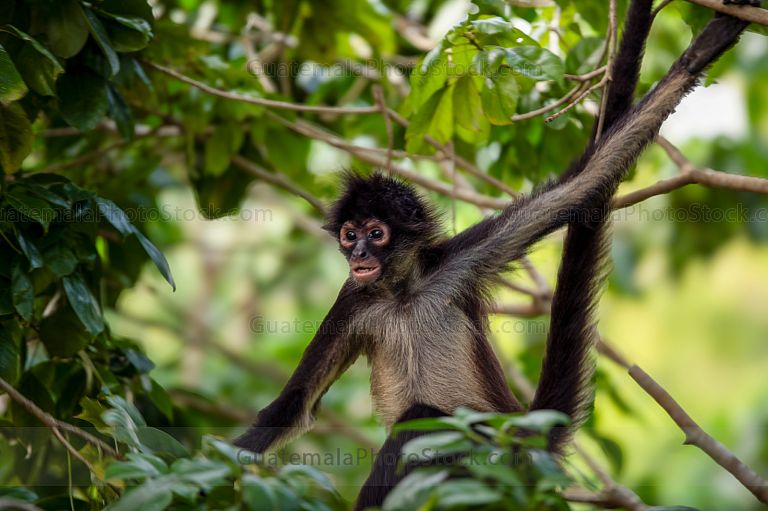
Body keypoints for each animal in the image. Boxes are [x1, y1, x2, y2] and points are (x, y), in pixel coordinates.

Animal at [234, 3, 749, 508]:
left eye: (376, 233)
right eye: (348, 234)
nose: (358, 251)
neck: (402, 293)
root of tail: (523, 439)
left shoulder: (458, 260)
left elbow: (583, 183)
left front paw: (698, 54)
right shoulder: (354, 298)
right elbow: (294, 404)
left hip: (489, 450)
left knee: (420, 421)